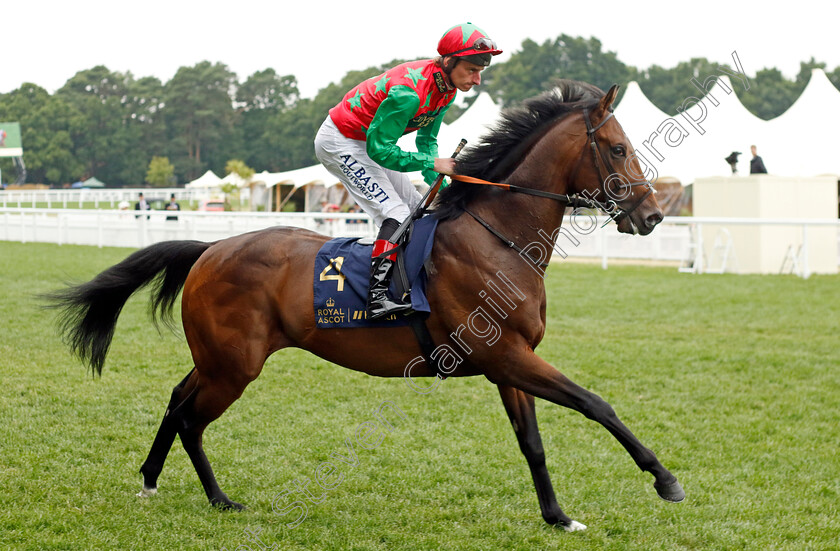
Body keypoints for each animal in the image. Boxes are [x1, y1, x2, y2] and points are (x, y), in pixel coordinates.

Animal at [49, 81, 684, 532]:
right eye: (619, 148)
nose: (653, 215)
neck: (496, 239)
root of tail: (209, 249)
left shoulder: (511, 360)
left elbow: (532, 442)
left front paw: (557, 516)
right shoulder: (504, 355)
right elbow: (595, 403)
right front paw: (665, 479)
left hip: (217, 358)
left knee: (176, 399)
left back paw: (152, 479)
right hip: (234, 365)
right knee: (189, 418)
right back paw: (220, 499)